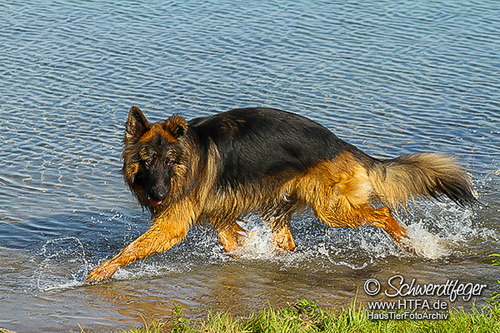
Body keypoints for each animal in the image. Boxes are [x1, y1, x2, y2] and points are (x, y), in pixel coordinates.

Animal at [86, 107, 476, 282]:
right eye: (147, 161)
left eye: (169, 162)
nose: (158, 194)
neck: (189, 156)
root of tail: (341, 144)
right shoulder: (221, 218)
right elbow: (234, 246)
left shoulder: (172, 224)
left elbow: (132, 249)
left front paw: (100, 272)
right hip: (283, 206)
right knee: (286, 243)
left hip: (332, 210)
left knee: (383, 214)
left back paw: (409, 243)